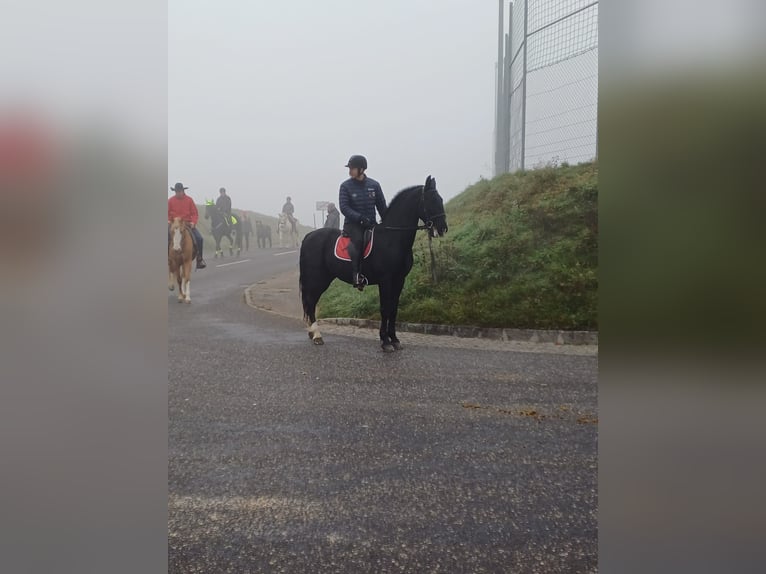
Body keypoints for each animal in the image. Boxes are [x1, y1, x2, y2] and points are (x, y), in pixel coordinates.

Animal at [296, 176, 448, 354]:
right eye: (431, 200)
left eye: (440, 199)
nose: (442, 228)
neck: (392, 238)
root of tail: (309, 236)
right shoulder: (385, 280)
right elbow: (385, 309)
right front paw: (385, 341)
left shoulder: (399, 280)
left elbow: (393, 309)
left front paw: (395, 339)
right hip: (317, 278)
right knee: (311, 301)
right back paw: (317, 335)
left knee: (310, 303)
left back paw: (312, 333)